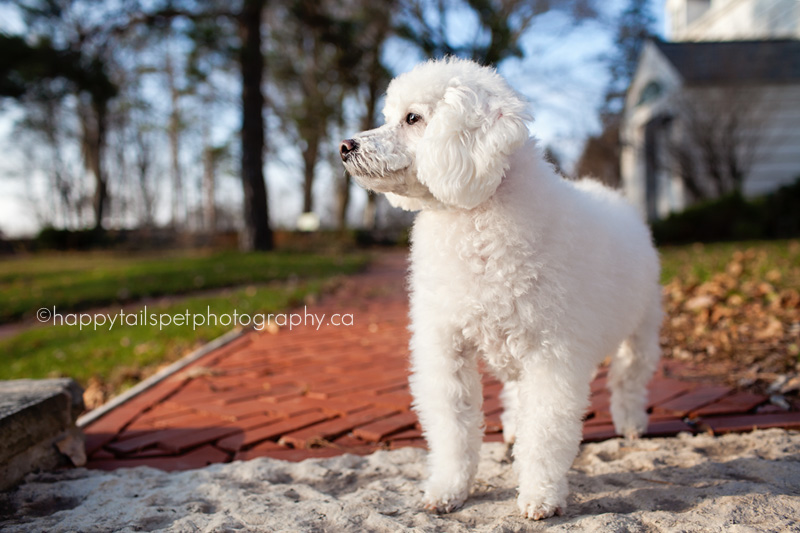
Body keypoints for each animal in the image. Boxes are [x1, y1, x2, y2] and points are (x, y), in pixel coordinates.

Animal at [340, 58, 660, 520]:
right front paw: (449, 489)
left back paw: (632, 423)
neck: (476, 217)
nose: (345, 145)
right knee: (514, 394)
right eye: (388, 116)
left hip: (642, 327)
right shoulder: (446, 348)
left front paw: (540, 496)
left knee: (629, 379)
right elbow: (453, 428)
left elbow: (545, 431)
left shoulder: (552, 358)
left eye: (412, 118)